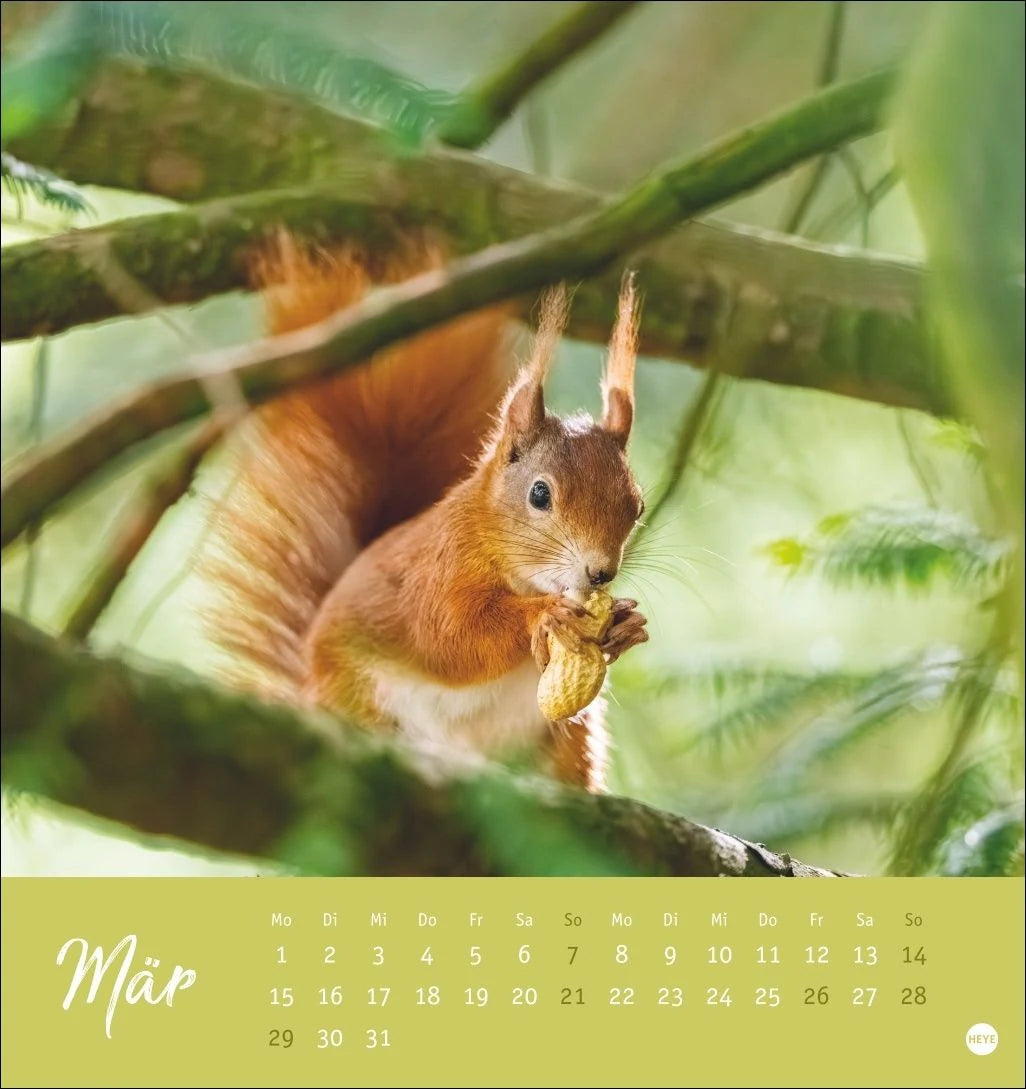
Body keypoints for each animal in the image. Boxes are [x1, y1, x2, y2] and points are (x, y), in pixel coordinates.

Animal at [202, 234, 649, 793]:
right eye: (540, 495)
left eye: (638, 504)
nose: (601, 572)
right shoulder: (436, 573)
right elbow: (451, 637)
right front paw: (542, 616)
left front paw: (628, 624)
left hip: (566, 736)